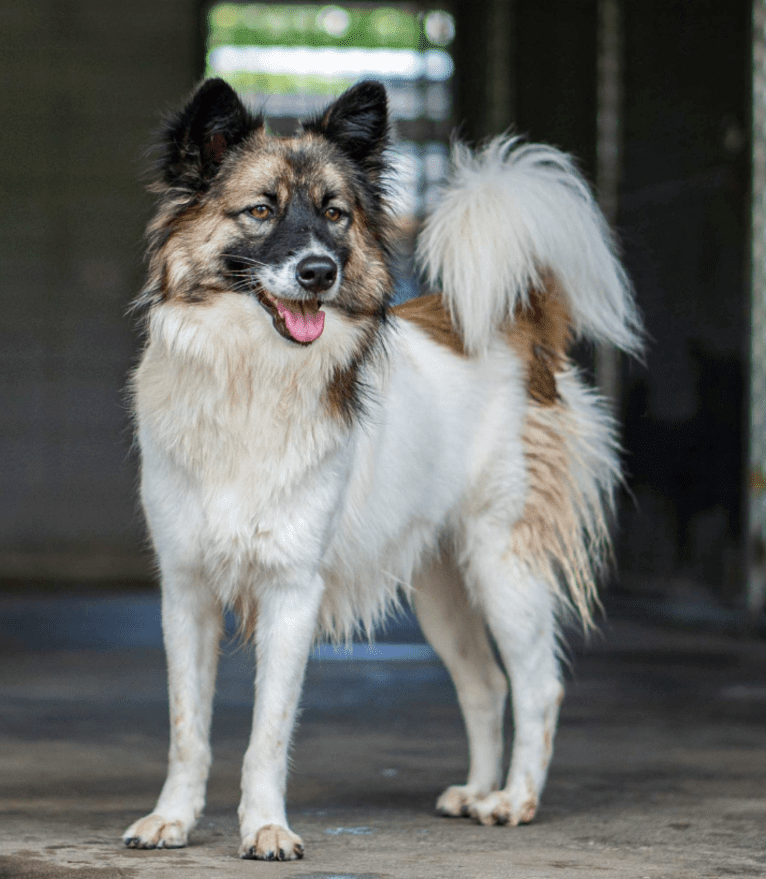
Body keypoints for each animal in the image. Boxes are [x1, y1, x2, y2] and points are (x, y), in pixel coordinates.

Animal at [124, 75, 640, 860]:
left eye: (335, 215)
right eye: (260, 210)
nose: (320, 271)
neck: (251, 377)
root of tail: (518, 331)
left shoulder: (292, 591)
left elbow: (267, 734)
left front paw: (267, 827)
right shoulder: (186, 590)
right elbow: (189, 728)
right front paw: (173, 818)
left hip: (502, 562)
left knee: (538, 686)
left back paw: (513, 800)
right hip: (440, 581)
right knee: (486, 683)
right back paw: (477, 791)